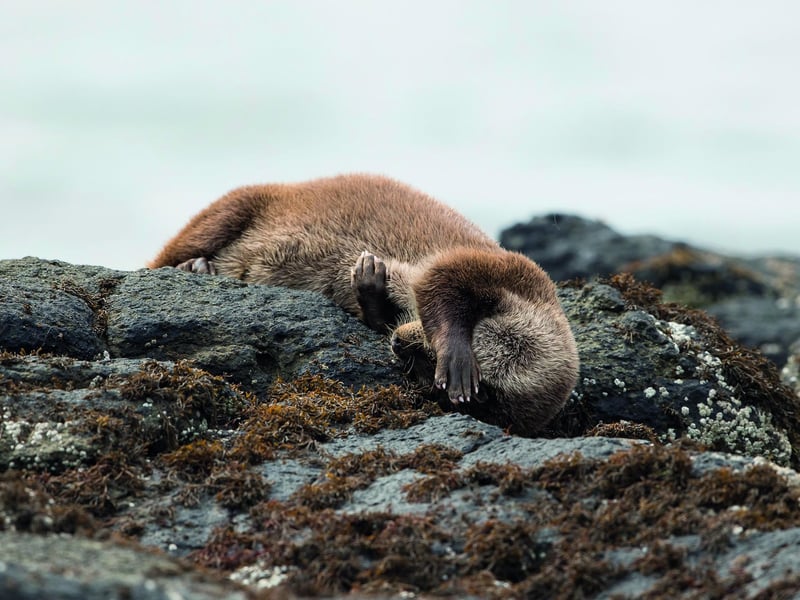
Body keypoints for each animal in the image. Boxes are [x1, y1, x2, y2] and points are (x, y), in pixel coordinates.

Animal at [149, 174, 579, 434]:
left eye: (426, 364)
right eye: (433, 353)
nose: (402, 344)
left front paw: (370, 286)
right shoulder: (514, 270)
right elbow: (442, 277)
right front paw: (457, 355)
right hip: (237, 205)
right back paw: (195, 266)